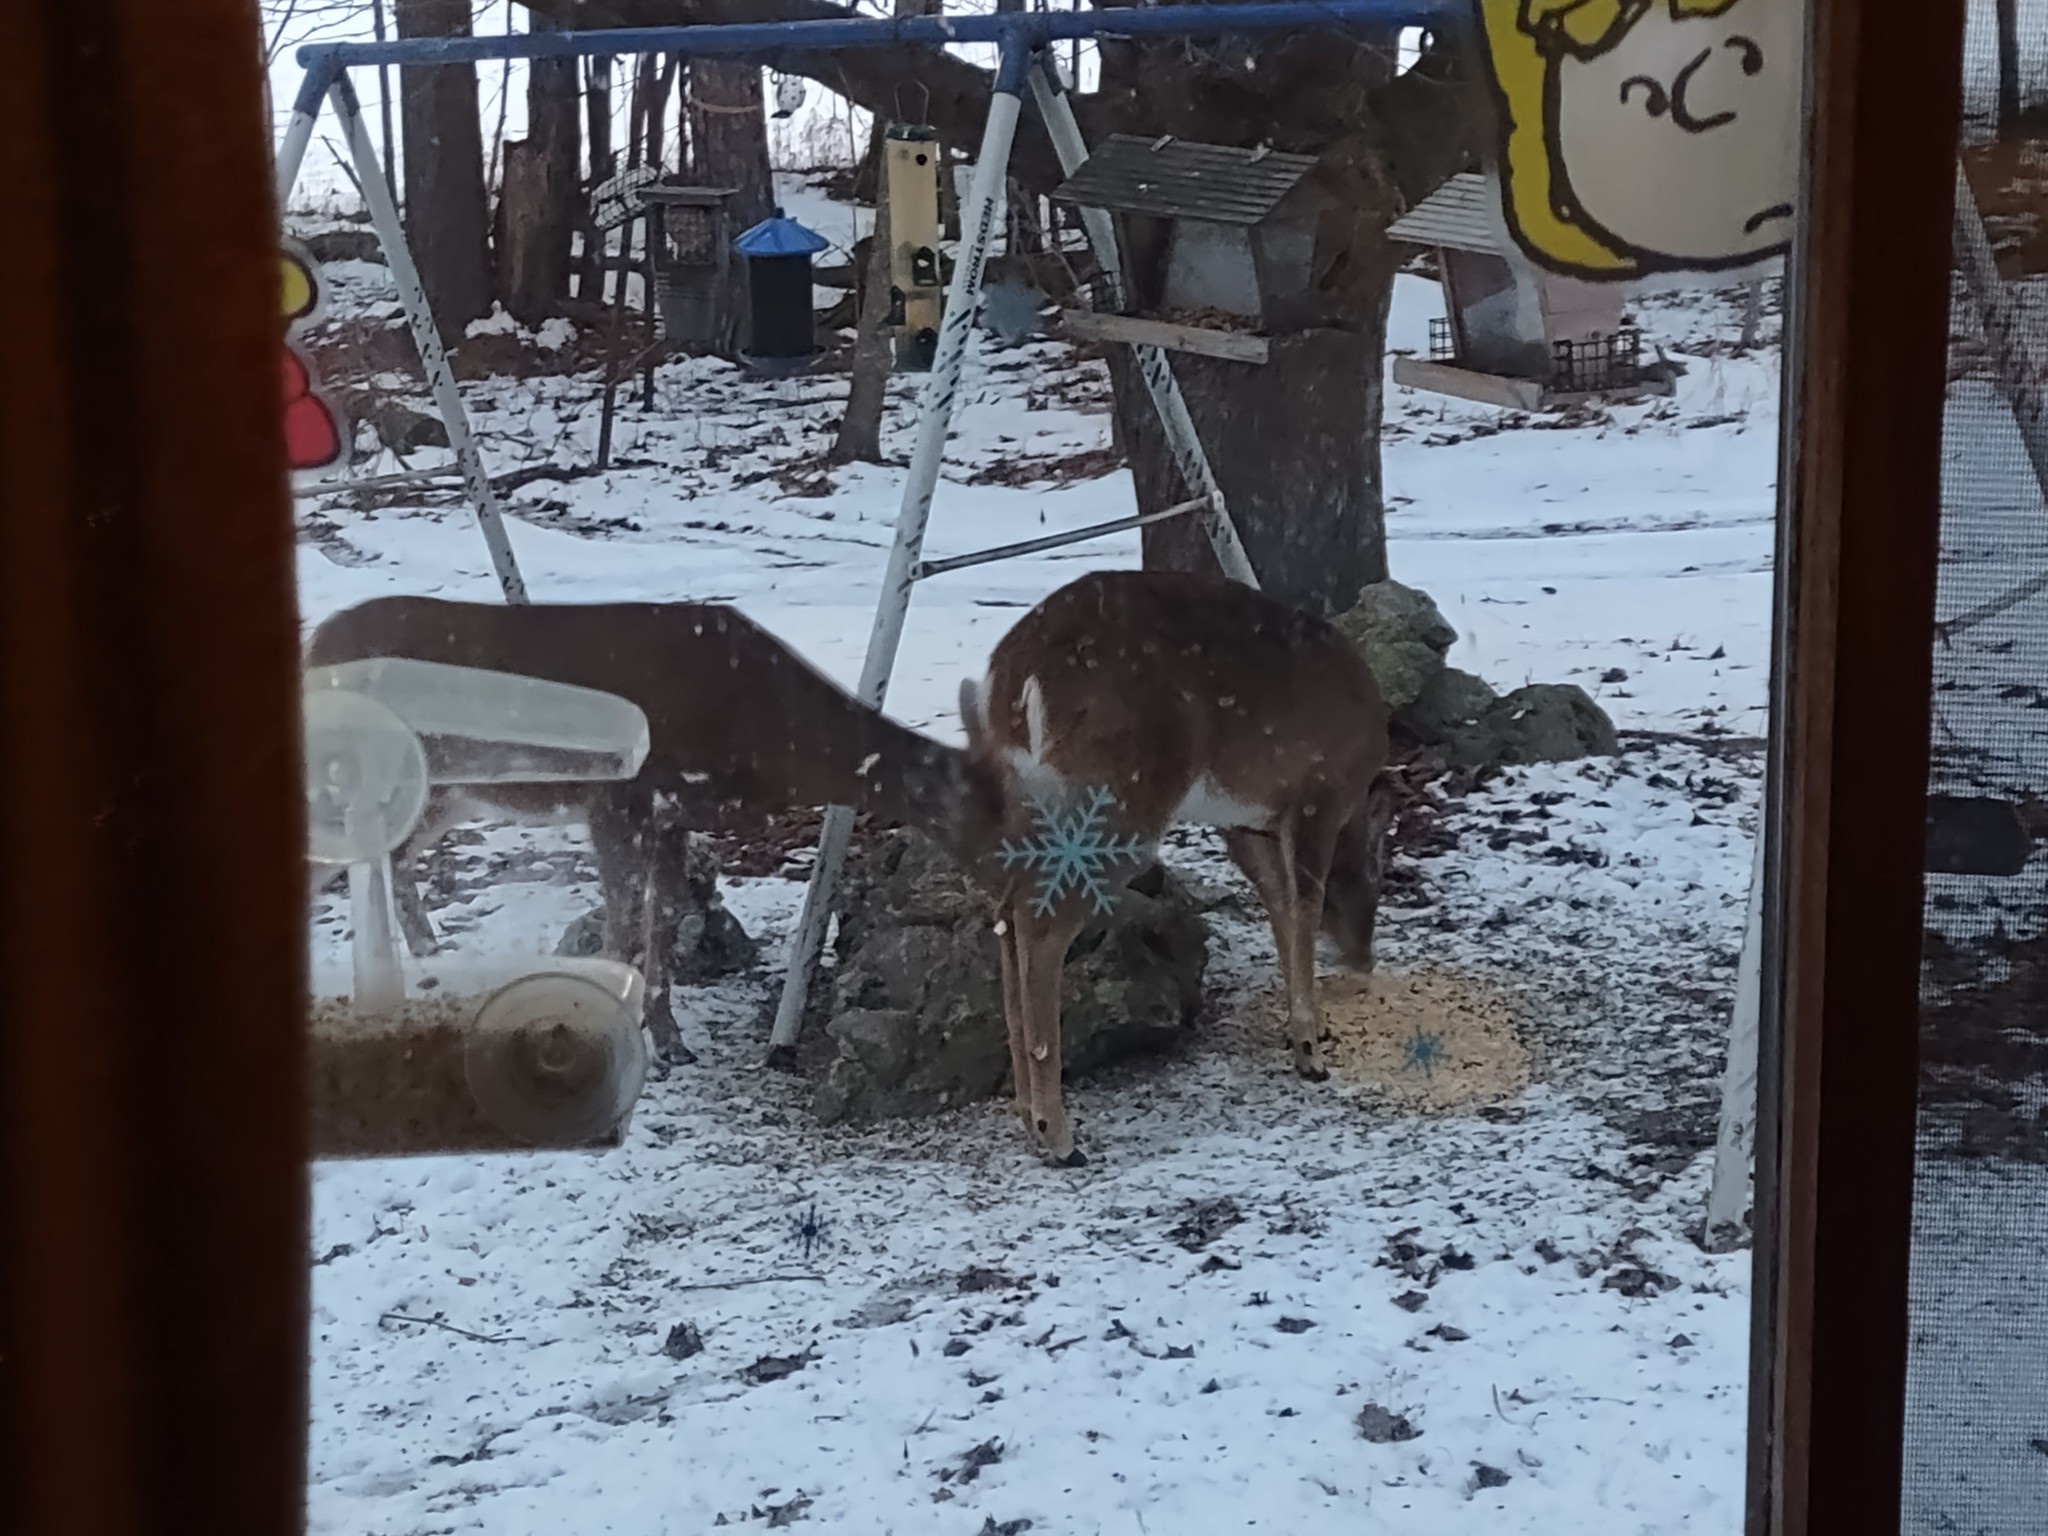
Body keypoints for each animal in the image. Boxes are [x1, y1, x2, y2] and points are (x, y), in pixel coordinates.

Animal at [305, 598, 999, 1056]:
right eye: (1003, 819)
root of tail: (314, 645)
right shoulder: (619, 799)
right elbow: (620, 921)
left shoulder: (671, 814)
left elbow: (661, 914)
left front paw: (668, 1038)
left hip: (446, 792)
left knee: (391, 859)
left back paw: (430, 959)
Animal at [954, 573, 1392, 1163]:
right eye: (1376, 880)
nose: (1365, 959)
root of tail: (1013, 681)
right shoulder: (1315, 796)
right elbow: (1304, 905)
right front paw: (1310, 1051)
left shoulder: (1246, 822)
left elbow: (1279, 908)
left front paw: (1312, 1029)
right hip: (1121, 792)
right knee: (1040, 917)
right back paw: (1059, 1136)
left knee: (1006, 905)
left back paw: (1028, 1116)